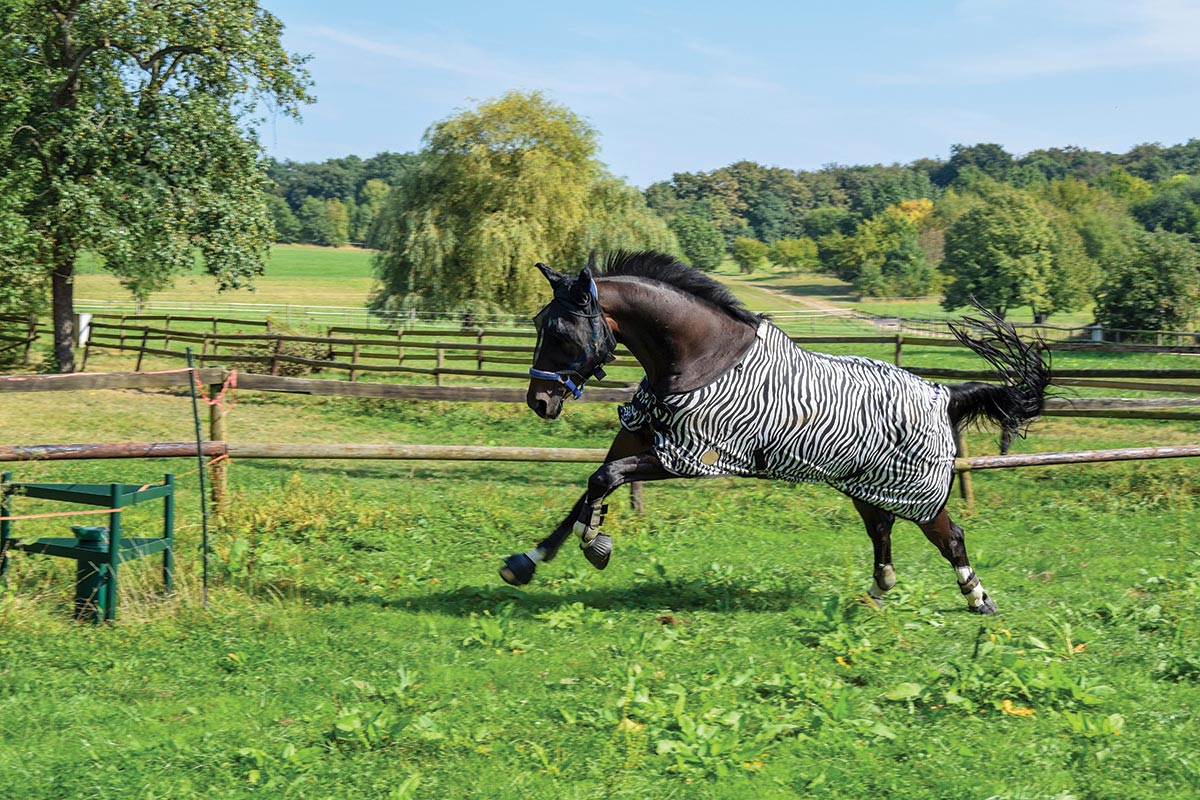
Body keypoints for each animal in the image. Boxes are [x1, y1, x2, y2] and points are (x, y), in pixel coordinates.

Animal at [496, 250, 1051, 614]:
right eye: (539, 323)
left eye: (561, 331)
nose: (540, 401)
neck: (703, 359)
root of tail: (943, 394)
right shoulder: (638, 435)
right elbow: (590, 485)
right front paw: (527, 561)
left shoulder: (688, 457)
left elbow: (603, 480)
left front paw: (596, 544)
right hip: (865, 487)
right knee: (881, 531)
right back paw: (876, 593)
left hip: (917, 493)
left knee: (950, 537)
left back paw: (978, 599)